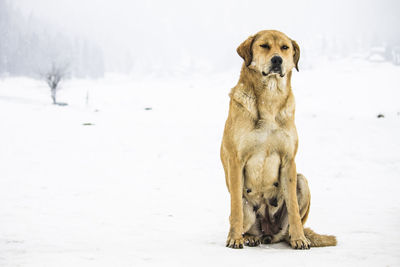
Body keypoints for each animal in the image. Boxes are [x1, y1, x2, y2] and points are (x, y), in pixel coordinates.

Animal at [220, 30, 336, 250]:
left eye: (284, 48)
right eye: (264, 46)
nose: (277, 60)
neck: (270, 98)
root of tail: (268, 232)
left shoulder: (289, 161)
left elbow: (293, 208)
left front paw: (299, 239)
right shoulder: (236, 161)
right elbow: (236, 208)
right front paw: (234, 238)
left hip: (302, 181)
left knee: (290, 224)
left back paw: (293, 237)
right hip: (248, 210)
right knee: (240, 216)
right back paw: (249, 237)